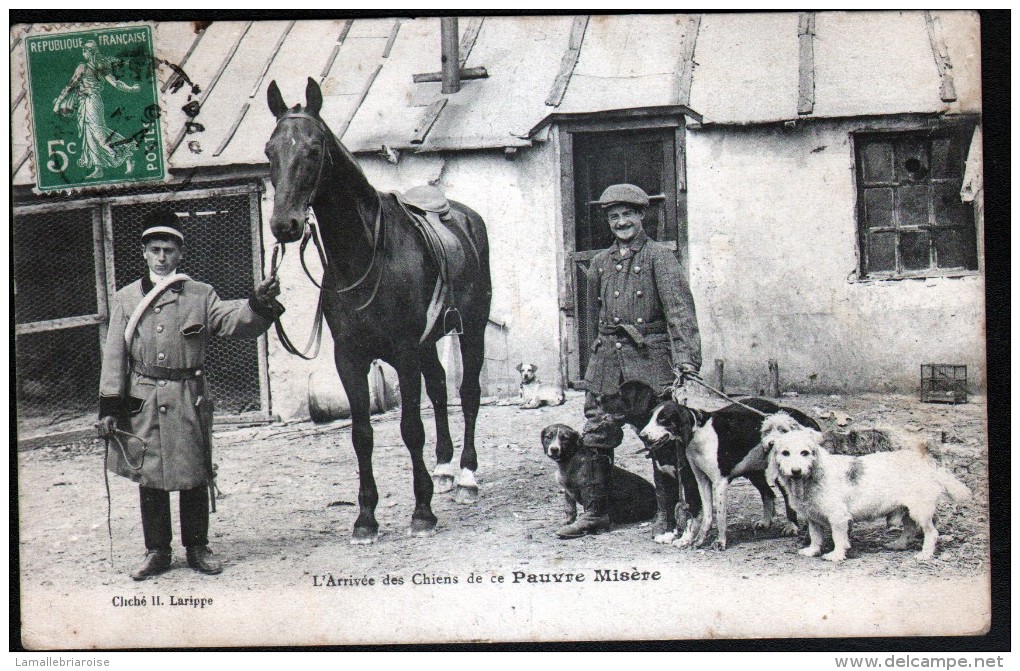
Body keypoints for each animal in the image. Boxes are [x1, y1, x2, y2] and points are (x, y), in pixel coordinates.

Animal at [261, 76, 487, 542]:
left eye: (313, 149)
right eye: (270, 151)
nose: (284, 225)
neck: (364, 256)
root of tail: (465, 215)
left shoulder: (403, 353)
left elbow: (410, 428)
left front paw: (422, 512)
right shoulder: (349, 358)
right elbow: (361, 434)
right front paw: (365, 518)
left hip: (471, 329)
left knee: (468, 393)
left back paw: (467, 477)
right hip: (428, 344)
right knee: (440, 390)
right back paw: (444, 470)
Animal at [767, 424, 971, 558]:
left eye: (805, 453)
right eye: (785, 453)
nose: (796, 471)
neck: (812, 478)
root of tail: (926, 463)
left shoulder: (838, 518)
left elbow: (838, 537)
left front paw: (836, 555)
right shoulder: (813, 518)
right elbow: (815, 536)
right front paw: (812, 551)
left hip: (919, 511)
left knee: (931, 532)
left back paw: (925, 554)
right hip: (907, 511)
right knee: (910, 529)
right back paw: (898, 544)